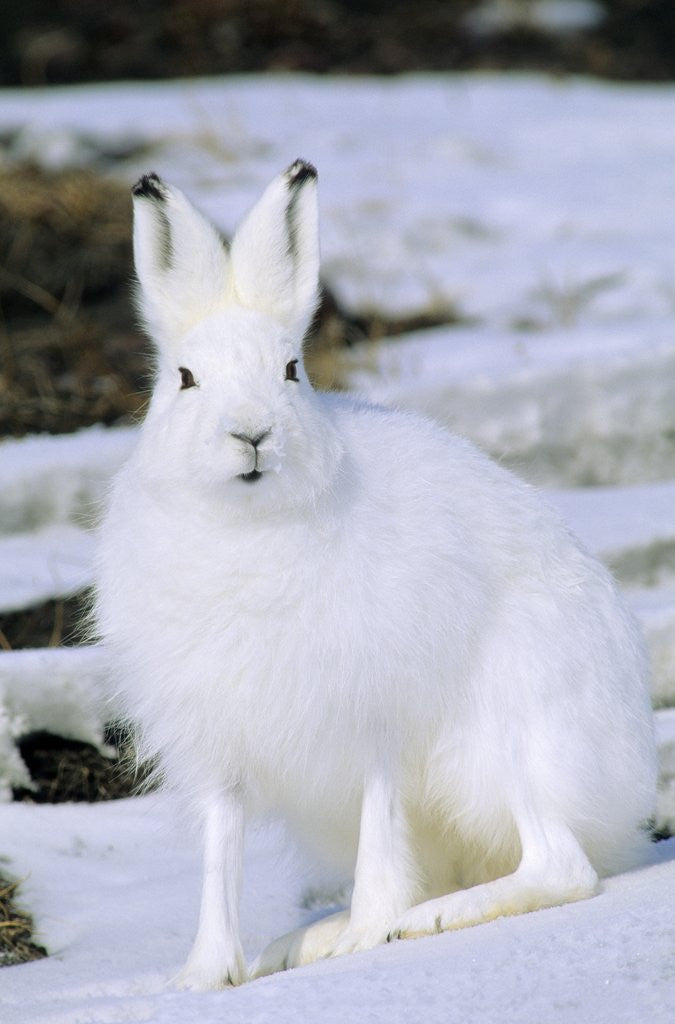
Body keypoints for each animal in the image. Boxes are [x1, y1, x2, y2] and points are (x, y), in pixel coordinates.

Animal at [95, 160, 657, 992]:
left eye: (290, 370)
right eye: (186, 379)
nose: (251, 433)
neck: (247, 529)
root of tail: (625, 796)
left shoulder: (372, 716)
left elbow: (379, 822)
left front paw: (369, 933)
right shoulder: (220, 742)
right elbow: (220, 851)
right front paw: (202, 977)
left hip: (506, 733)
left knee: (559, 864)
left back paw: (421, 920)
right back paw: (302, 941)